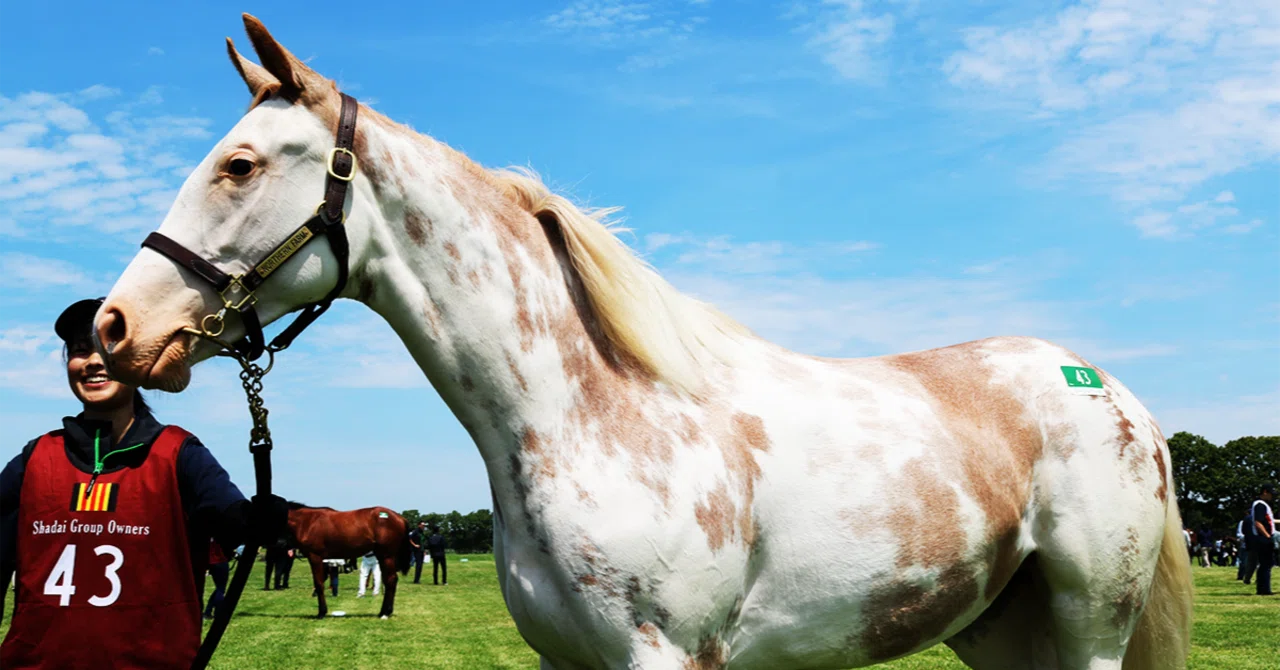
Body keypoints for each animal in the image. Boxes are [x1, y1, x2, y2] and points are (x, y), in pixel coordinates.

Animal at [92, 14, 1193, 669]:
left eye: (238, 164)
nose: (115, 328)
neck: (592, 414)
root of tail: (1111, 393)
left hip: (1088, 629)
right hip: (1002, 634)